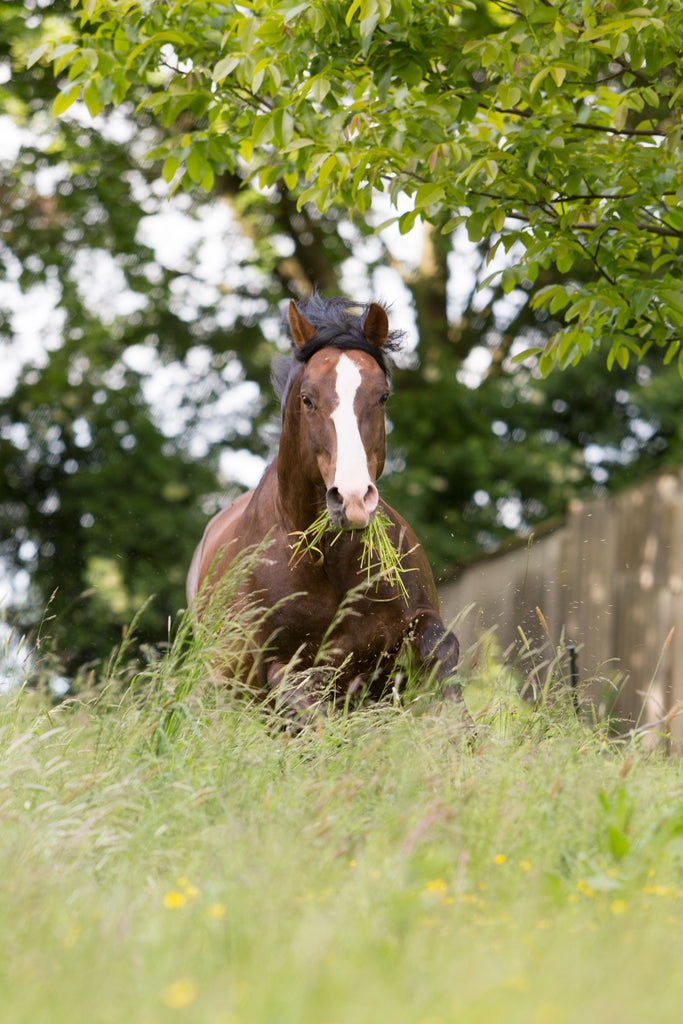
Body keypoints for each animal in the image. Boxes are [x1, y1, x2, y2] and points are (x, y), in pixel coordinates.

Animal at [185, 292, 464, 716]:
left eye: (382, 396)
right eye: (307, 399)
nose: (352, 499)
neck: (331, 566)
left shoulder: (415, 624)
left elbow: (442, 649)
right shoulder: (283, 669)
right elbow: (313, 709)